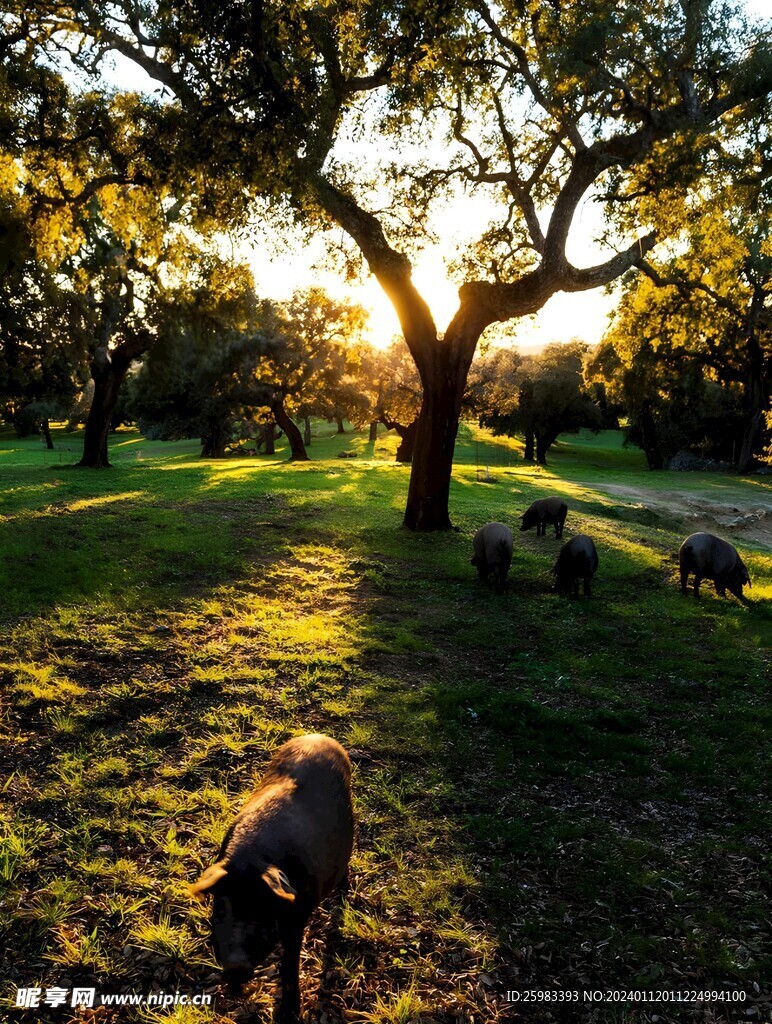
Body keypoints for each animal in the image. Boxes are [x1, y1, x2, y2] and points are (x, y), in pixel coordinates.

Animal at [191, 733, 354, 1019]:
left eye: (262, 909)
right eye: (220, 907)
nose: (235, 966)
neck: (251, 858)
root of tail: (320, 736)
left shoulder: (297, 918)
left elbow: (289, 963)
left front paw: (288, 1013)